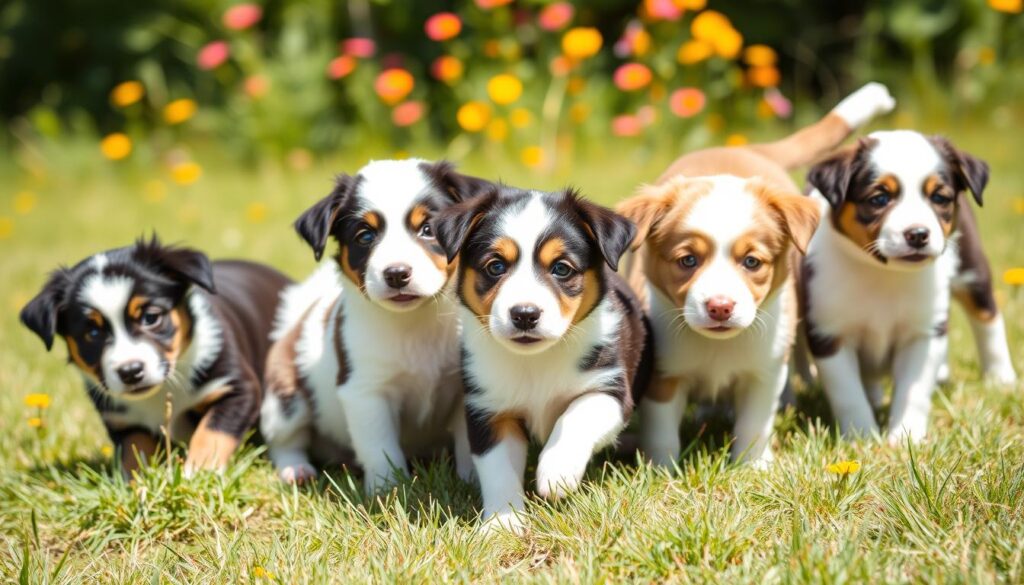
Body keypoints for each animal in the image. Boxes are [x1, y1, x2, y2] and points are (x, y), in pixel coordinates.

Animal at [20, 235, 292, 477]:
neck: (162, 390)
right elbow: (134, 454)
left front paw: (198, 472)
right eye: (93, 333)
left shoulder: (238, 388)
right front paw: (137, 485)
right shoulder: (124, 421)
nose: (130, 371)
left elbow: (212, 432)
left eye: (150, 317)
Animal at [262, 158, 489, 489]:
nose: (396, 274)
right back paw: (297, 469)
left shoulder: (465, 388)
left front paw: (470, 481)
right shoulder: (366, 392)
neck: (416, 322)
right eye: (365, 236)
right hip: (285, 401)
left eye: (428, 229)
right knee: (286, 442)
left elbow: (467, 443)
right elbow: (381, 448)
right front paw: (388, 488)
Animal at [436, 185, 651, 532]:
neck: (535, 361)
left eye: (561, 268)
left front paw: (557, 472)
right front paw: (502, 523)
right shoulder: (489, 410)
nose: (525, 314)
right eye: (495, 266)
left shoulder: (610, 390)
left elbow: (576, 415)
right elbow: (497, 470)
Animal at [614, 81, 897, 467]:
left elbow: (755, 422)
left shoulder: (764, 371)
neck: (718, 344)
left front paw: (753, 465)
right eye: (687, 261)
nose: (720, 307)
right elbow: (661, 431)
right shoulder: (663, 373)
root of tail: (748, 149)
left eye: (752, 262)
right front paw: (662, 468)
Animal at [806, 129, 1015, 444]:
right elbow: (848, 394)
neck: (885, 274)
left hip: (972, 269)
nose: (917, 234)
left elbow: (913, 391)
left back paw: (1000, 377)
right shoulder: (828, 333)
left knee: (987, 317)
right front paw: (862, 437)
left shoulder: (922, 333)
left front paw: (906, 437)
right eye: (879, 198)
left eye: (939, 197)